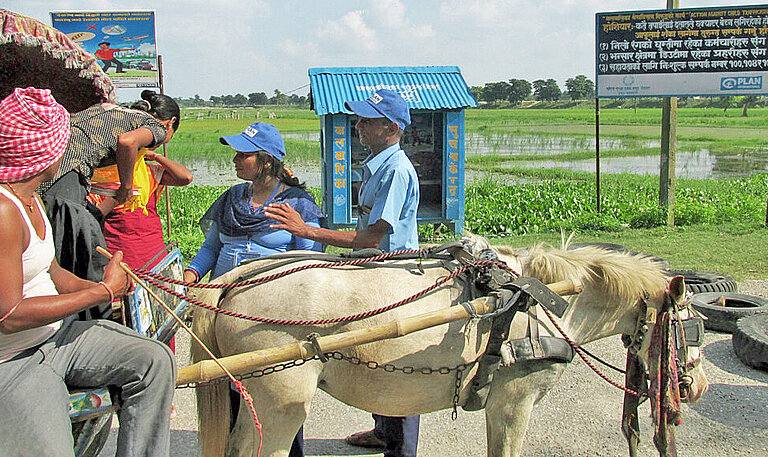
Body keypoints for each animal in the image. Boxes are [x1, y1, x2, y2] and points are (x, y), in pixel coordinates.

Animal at [190, 237, 708, 454]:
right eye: (693, 327)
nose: (698, 385)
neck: (547, 301)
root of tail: (236, 278)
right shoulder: (513, 401)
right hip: (282, 404)